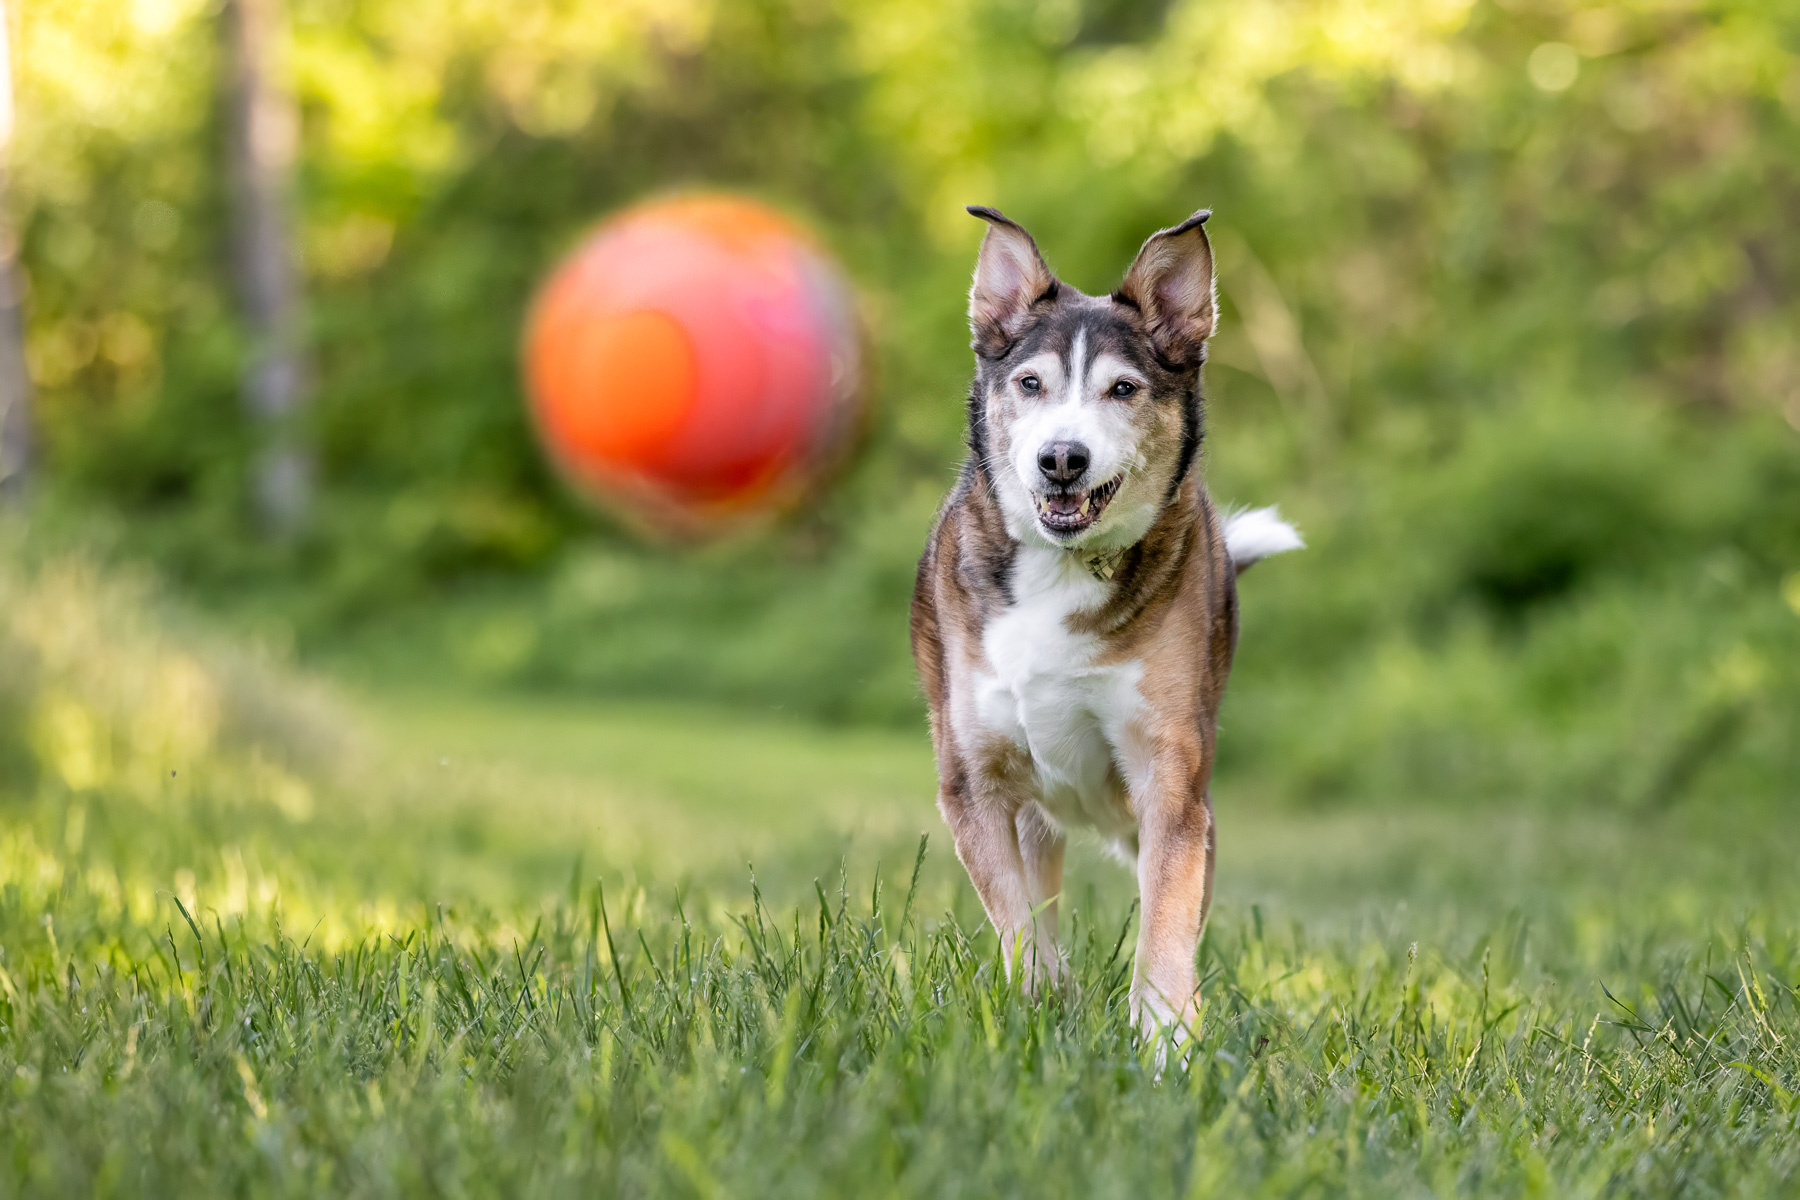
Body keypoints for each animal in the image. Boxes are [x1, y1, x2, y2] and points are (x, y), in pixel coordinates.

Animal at [907, 206, 1303, 1043]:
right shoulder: (973, 785)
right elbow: (1019, 922)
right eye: (1030, 383)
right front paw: (1041, 1008)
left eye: (1123, 389)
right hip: (1037, 814)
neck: (1061, 568)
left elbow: (1166, 921)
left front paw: (1165, 1037)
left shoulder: (1170, 782)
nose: (1063, 459)